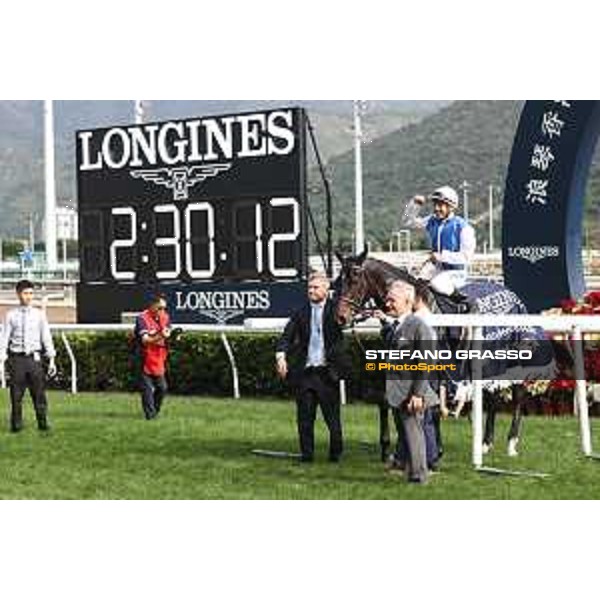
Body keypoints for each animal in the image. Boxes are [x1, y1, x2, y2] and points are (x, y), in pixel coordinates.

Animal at [332, 251, 556, 462]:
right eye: (337, 281)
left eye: (355, 278)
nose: (340, 317)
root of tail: (513, 296)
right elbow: (388, 400)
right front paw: (390, 449)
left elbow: (431, 406)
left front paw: (434, 451)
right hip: (491, 364)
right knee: (493, 397)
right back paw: (486, 443)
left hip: (514, 359)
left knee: (519, 394)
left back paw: (511, 443)